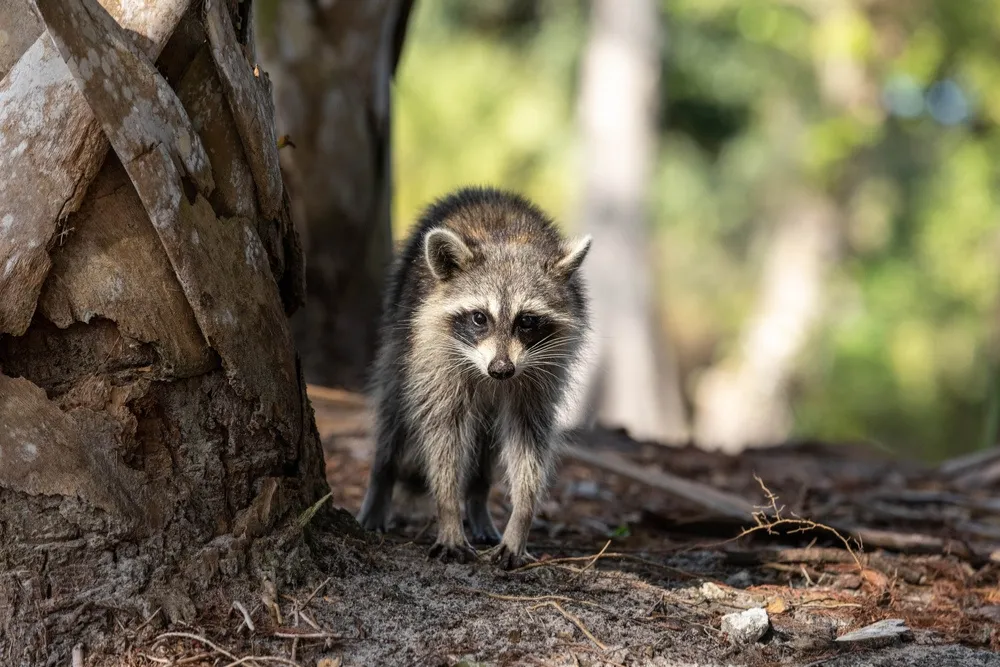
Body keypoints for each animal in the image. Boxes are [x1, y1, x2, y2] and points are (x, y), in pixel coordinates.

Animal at [357, 186, 591, 569]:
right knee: (393, 413)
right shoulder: (436, 358)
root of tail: (488, 191)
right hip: (400, 331)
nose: (501, 370)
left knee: (484, 450)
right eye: (480, 318)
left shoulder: (541, 372)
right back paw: (381, 481)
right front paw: (449, 512)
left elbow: (529, 441)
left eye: (527, 321)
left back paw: (479, 501)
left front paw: (521, 518)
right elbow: (443, 435)